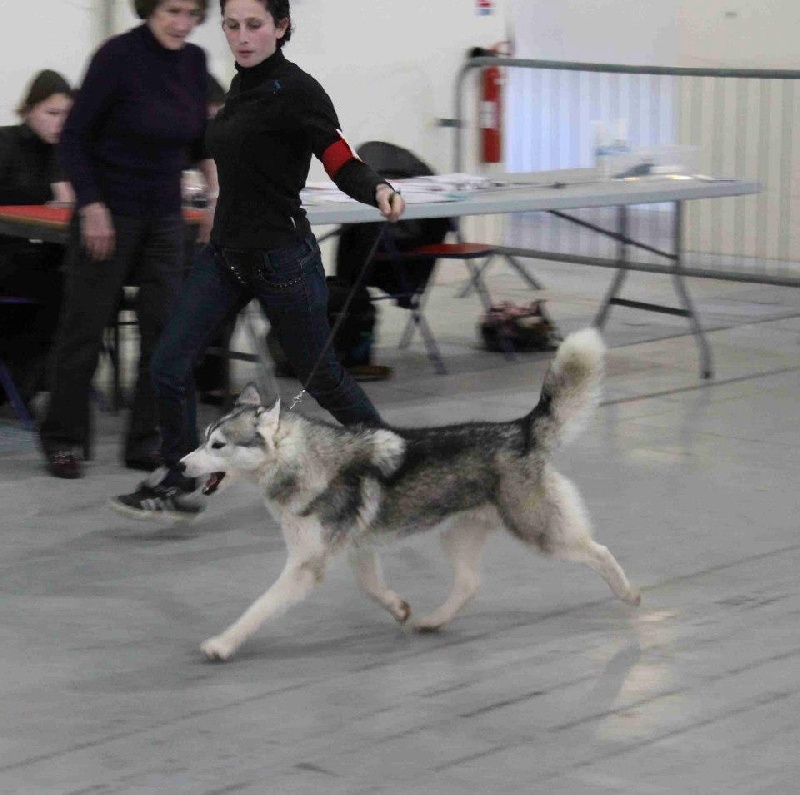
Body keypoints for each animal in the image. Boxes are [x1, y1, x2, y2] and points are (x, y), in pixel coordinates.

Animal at [180, 328, 640, 661]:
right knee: (469, 583)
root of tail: (519, 430)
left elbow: (258, 607)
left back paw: (629, 594)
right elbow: (371, 588)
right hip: (457, 535)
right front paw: (399, 608)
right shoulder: (359, 550)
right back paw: (433, 621)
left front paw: (222, 644)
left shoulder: (305, 566)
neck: (303, 461)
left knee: (598, 551)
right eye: (203, 439)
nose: (182, 466)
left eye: (217, 445)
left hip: (541, 532)